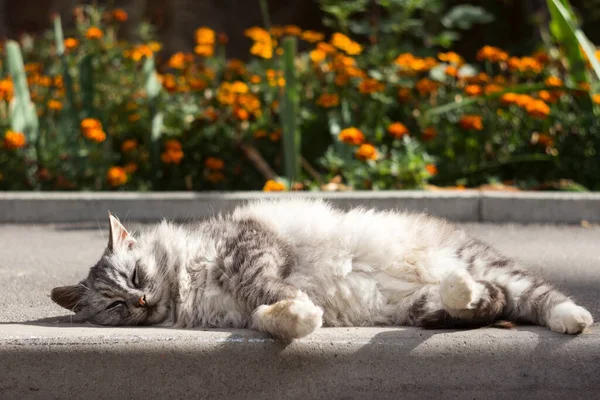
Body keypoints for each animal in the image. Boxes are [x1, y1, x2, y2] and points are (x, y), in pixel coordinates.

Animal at [52, 198, 596, 340]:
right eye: (116, 305)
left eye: (136, 279)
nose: (141, 301)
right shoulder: (241, 309)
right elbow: (270, 317)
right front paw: (300, 319)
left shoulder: (251, 250)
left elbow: (267, 288)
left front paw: (300, 308)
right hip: (419, 307)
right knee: (482, 301)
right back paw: (458, 290)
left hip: (492, 267)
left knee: (536, 296)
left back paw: (575, 320)